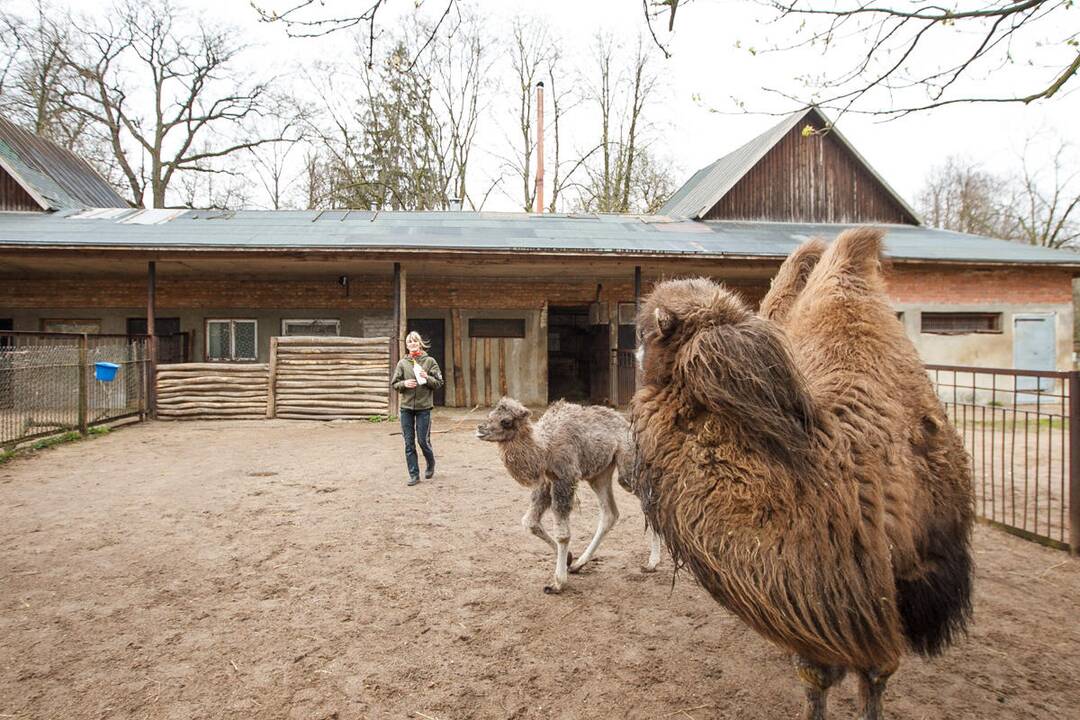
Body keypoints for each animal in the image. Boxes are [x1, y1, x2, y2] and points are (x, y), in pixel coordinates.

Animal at [477, 397, 660, 595]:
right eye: (490, 414)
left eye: (506, 421)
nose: (480, 429)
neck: (545, 450)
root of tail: (625, 423)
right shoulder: (547, 481)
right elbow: (530, 522)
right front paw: (569, 559)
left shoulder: (565, 478)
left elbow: (562, 535)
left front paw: (558, 583)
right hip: (599, 474)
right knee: (610, 513)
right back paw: (579, 564)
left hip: (627, 467)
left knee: (647, 501)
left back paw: (652, 563)